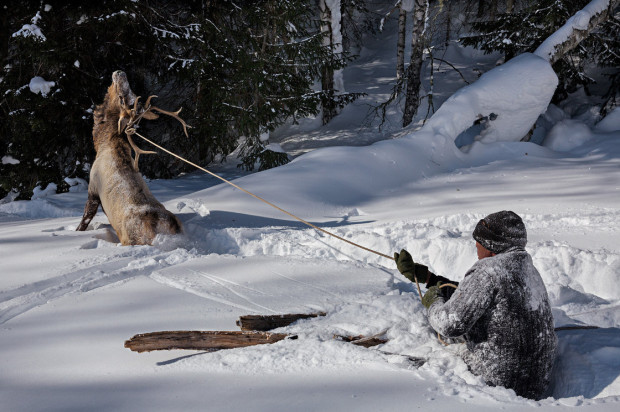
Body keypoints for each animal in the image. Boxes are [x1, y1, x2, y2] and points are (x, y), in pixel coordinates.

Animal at [75, 70, 188, 245]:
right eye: (131, 94)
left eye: (122, 97)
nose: (120, 72)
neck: (102, 144)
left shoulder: (92, 188)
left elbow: (84, 220)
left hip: (131, 238)